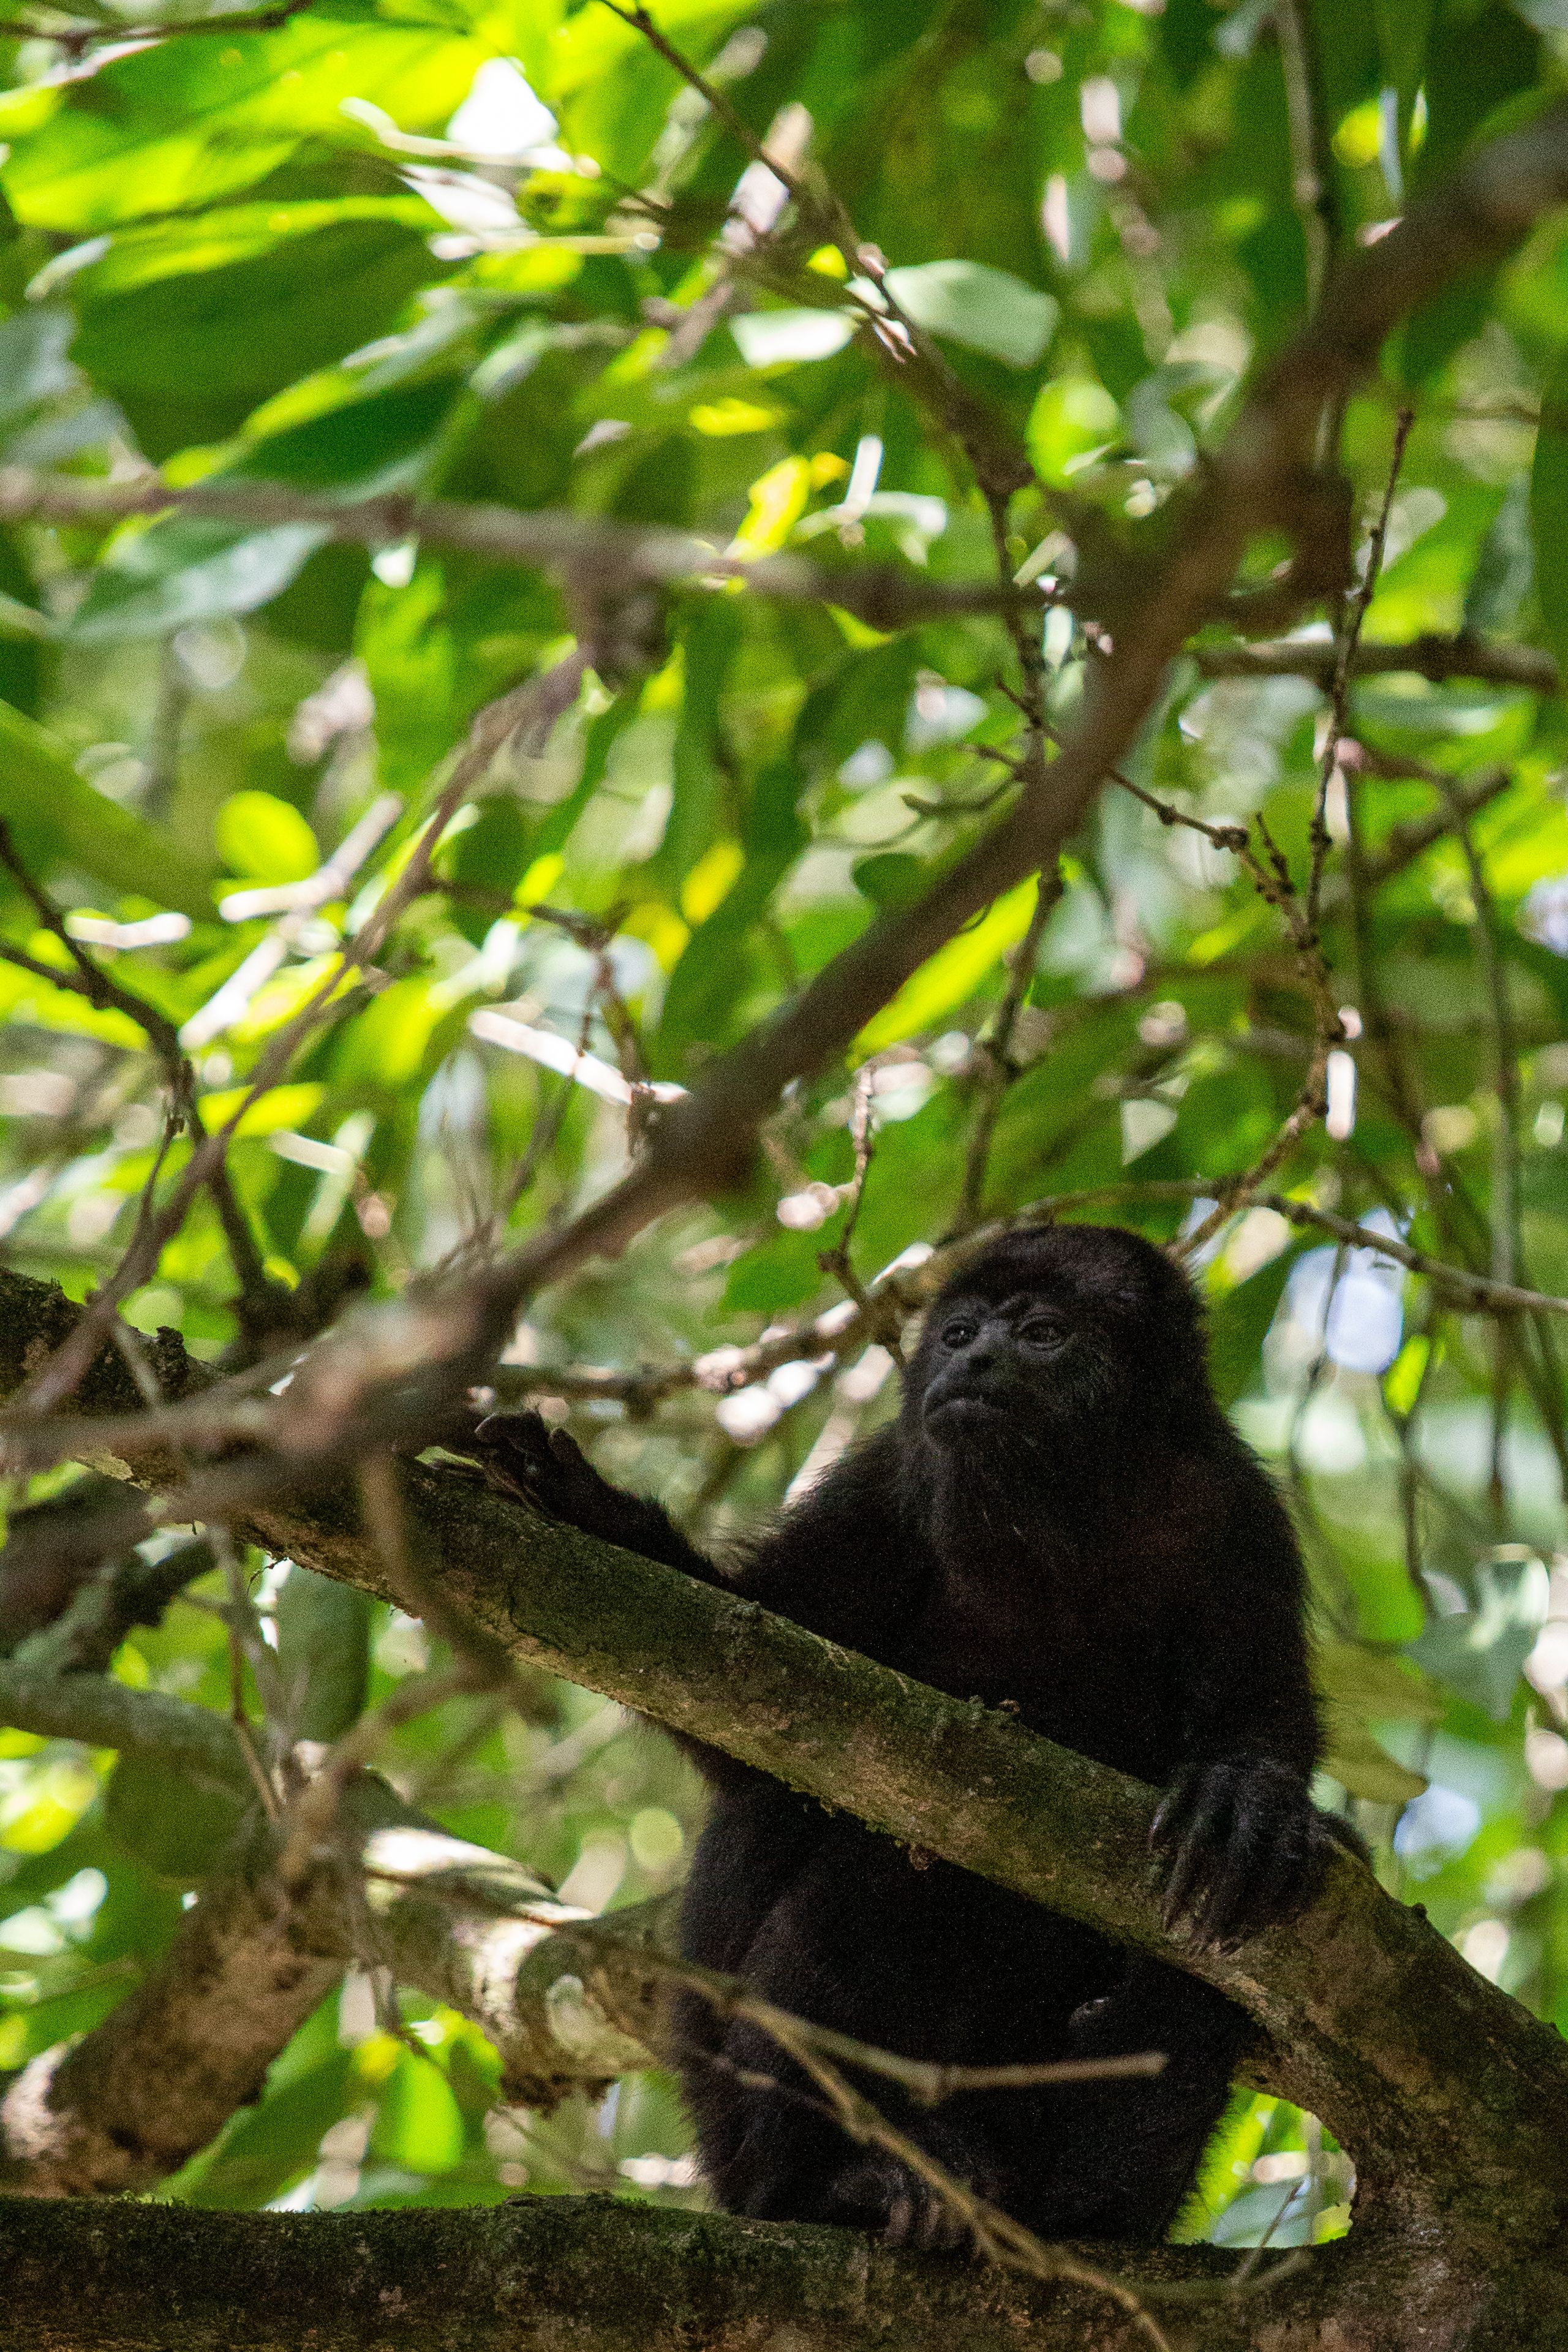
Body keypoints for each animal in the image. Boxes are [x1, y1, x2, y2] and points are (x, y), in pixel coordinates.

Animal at [477, 1221, 1334, 2247]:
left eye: (1043, 1332)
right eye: (960, 1330)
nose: (974, 1357)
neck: (1060, 1520)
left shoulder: (1235, 1514)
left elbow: (1263, 1713)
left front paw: (1249, 1800)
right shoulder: (884, 1491)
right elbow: (747, 1720)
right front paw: (581, 1504)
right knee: (874, 1883)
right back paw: (851, 2181)